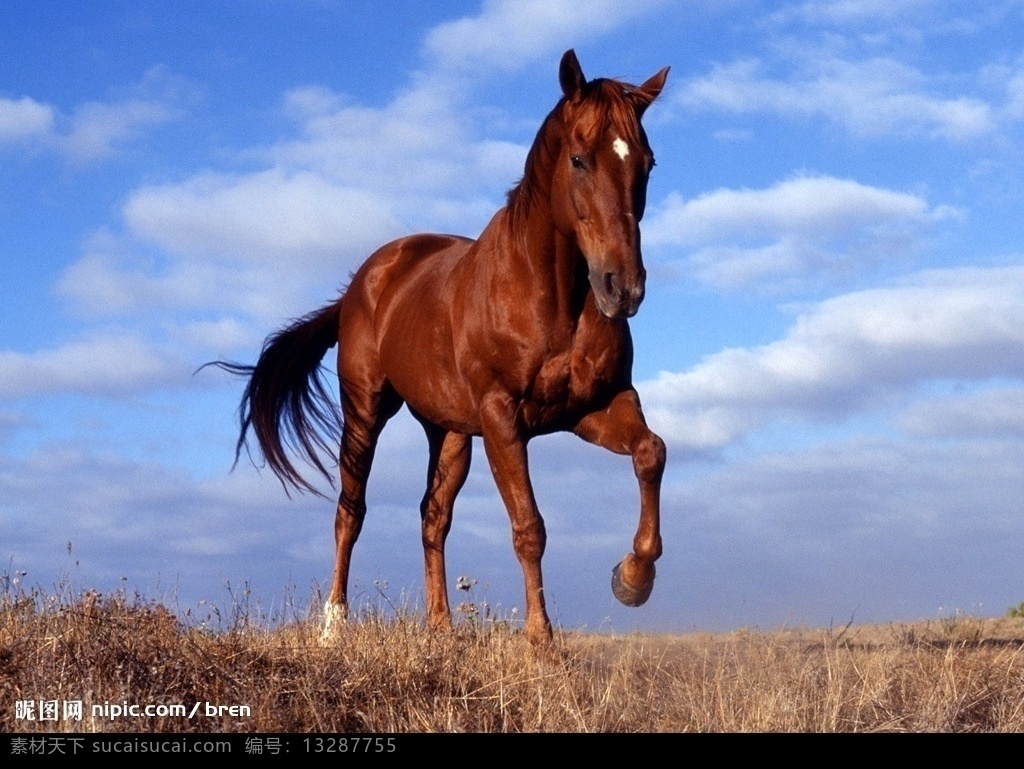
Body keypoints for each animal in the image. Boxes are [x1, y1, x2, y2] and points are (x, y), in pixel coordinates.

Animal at [211, 51, 667, 647]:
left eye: (648, 163)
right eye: (578, 159)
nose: (623, 288)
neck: (550, 297)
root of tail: (362, 283)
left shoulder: (594, 407)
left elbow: (651, 453)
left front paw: (632, 578)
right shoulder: (502, 418)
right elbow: (529, 526)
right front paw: (540, 640)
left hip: (448, 432)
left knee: (432, 517)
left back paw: (440, 627)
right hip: (366, 411)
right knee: (350, 511)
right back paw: (334, 624)